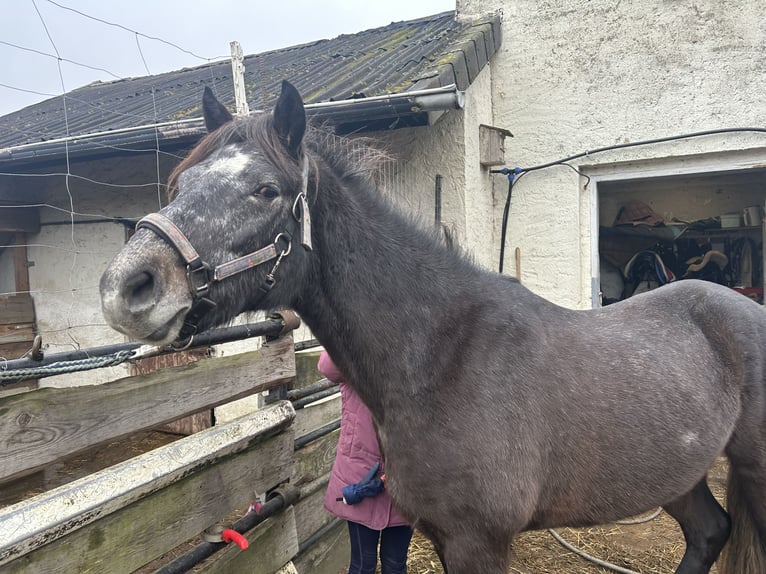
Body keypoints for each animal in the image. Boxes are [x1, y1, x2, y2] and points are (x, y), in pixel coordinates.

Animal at [99, 81, 766, 574]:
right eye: (180, 183)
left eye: (265, 189)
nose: (126, 286)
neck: (441, 355)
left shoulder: (479, 543)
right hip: (673, 470)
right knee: (710, 533)